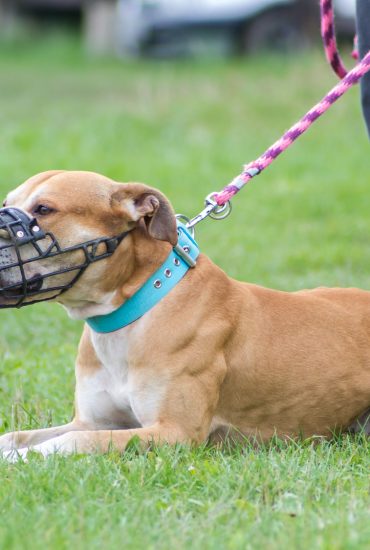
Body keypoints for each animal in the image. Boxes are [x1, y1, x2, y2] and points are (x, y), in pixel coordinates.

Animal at [0, 171, 368, 458]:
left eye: (44, 209)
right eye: (6, 204)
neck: (136, 309)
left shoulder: (174, 433)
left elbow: (76, 441)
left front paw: (24, 458)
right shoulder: (96, 421)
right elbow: (17, 435)